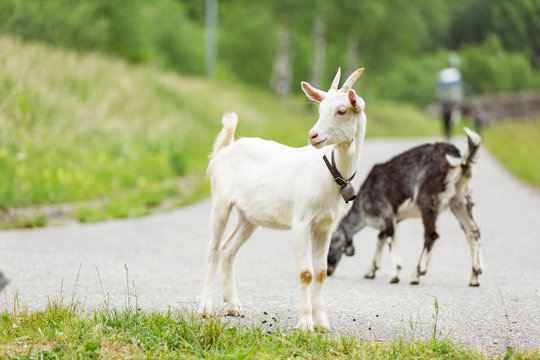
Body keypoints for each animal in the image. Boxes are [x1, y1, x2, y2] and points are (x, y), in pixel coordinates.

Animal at [198, 67, 368, 332]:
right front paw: (306, 323)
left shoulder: (325, 227)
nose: (313, 135)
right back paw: (205, 307)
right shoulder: (302, 222)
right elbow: (306, 273)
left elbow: (321, 272)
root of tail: (224, 149)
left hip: (249, 217)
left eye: (342, 110)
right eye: (320, 109)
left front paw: (322, 323)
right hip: (220, 202)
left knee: (228, 249)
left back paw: (233, 304)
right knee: (213, 250)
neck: (331, 173)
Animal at [326, 128, 484, 286]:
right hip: (460, 200)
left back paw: (417, 273)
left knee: (431, 234)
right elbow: (380, 238)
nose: (328, 271)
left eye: (329, 243)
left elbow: (390, 239)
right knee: (472, 231)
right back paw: (475, 276)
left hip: (427, 199)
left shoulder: (386, 212)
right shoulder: (390, 219)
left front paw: (395, 274)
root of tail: (458, 158)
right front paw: (371, 271)